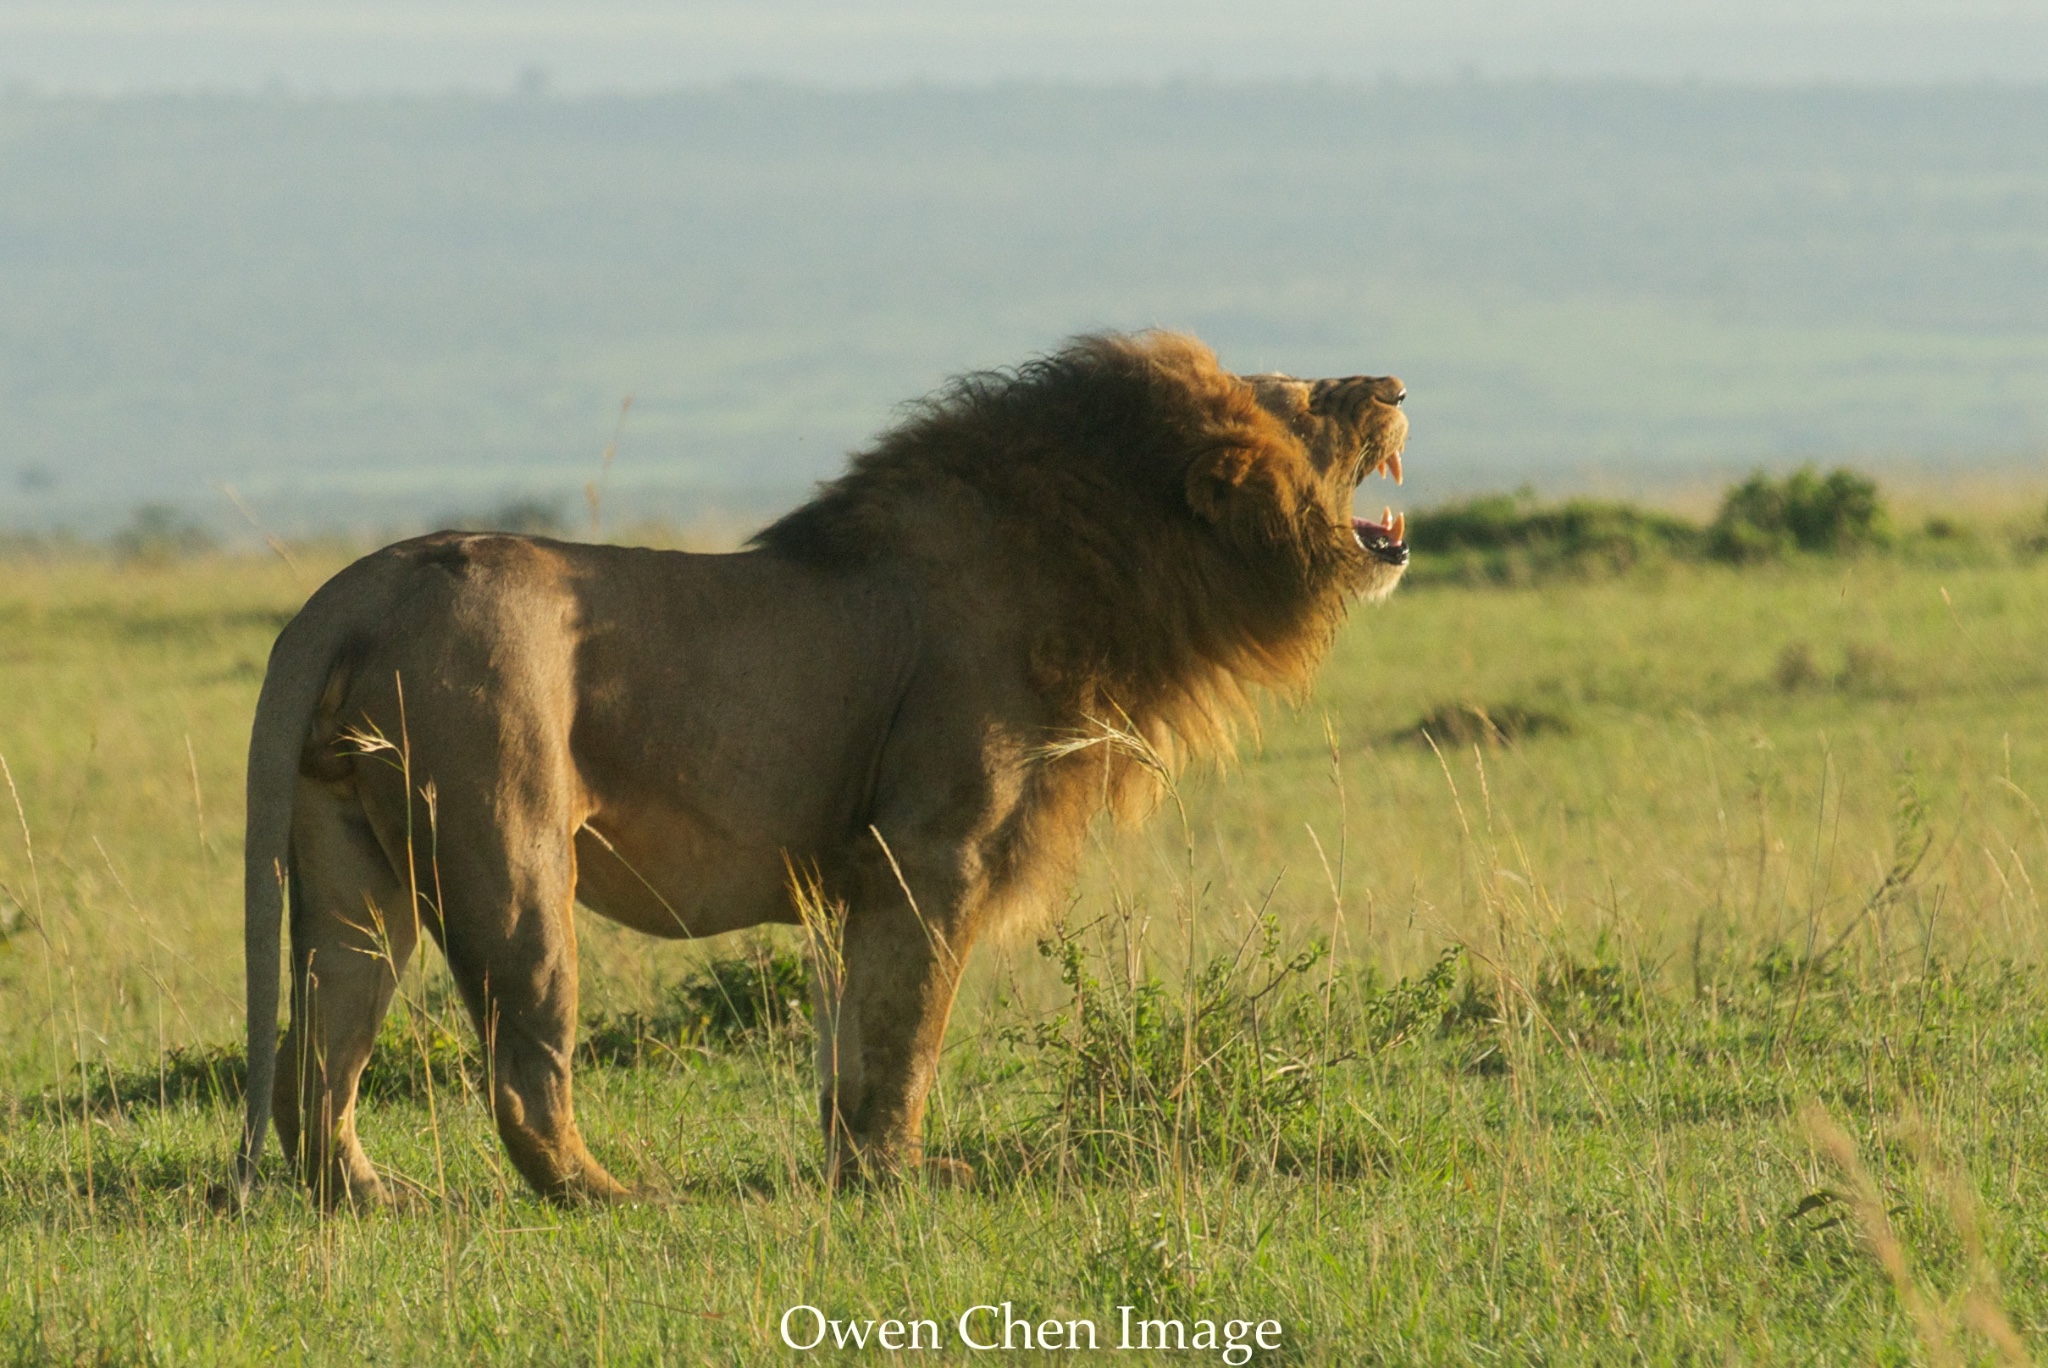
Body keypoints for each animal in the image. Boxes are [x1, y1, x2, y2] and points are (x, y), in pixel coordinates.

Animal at [228, 333, 1409, 1204]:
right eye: (1309, 400)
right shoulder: (930, 853)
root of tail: (356, 585)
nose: (1395, 383)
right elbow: (906, 1029)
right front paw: (900, 1176)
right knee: (520, 1064)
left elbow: (854, 1039)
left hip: (350, 862)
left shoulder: (868, 875)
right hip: (506, 846)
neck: (1110, 563)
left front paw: (850, 1169)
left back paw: (369, 1195)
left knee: (318, 1045)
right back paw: (608, 1194)